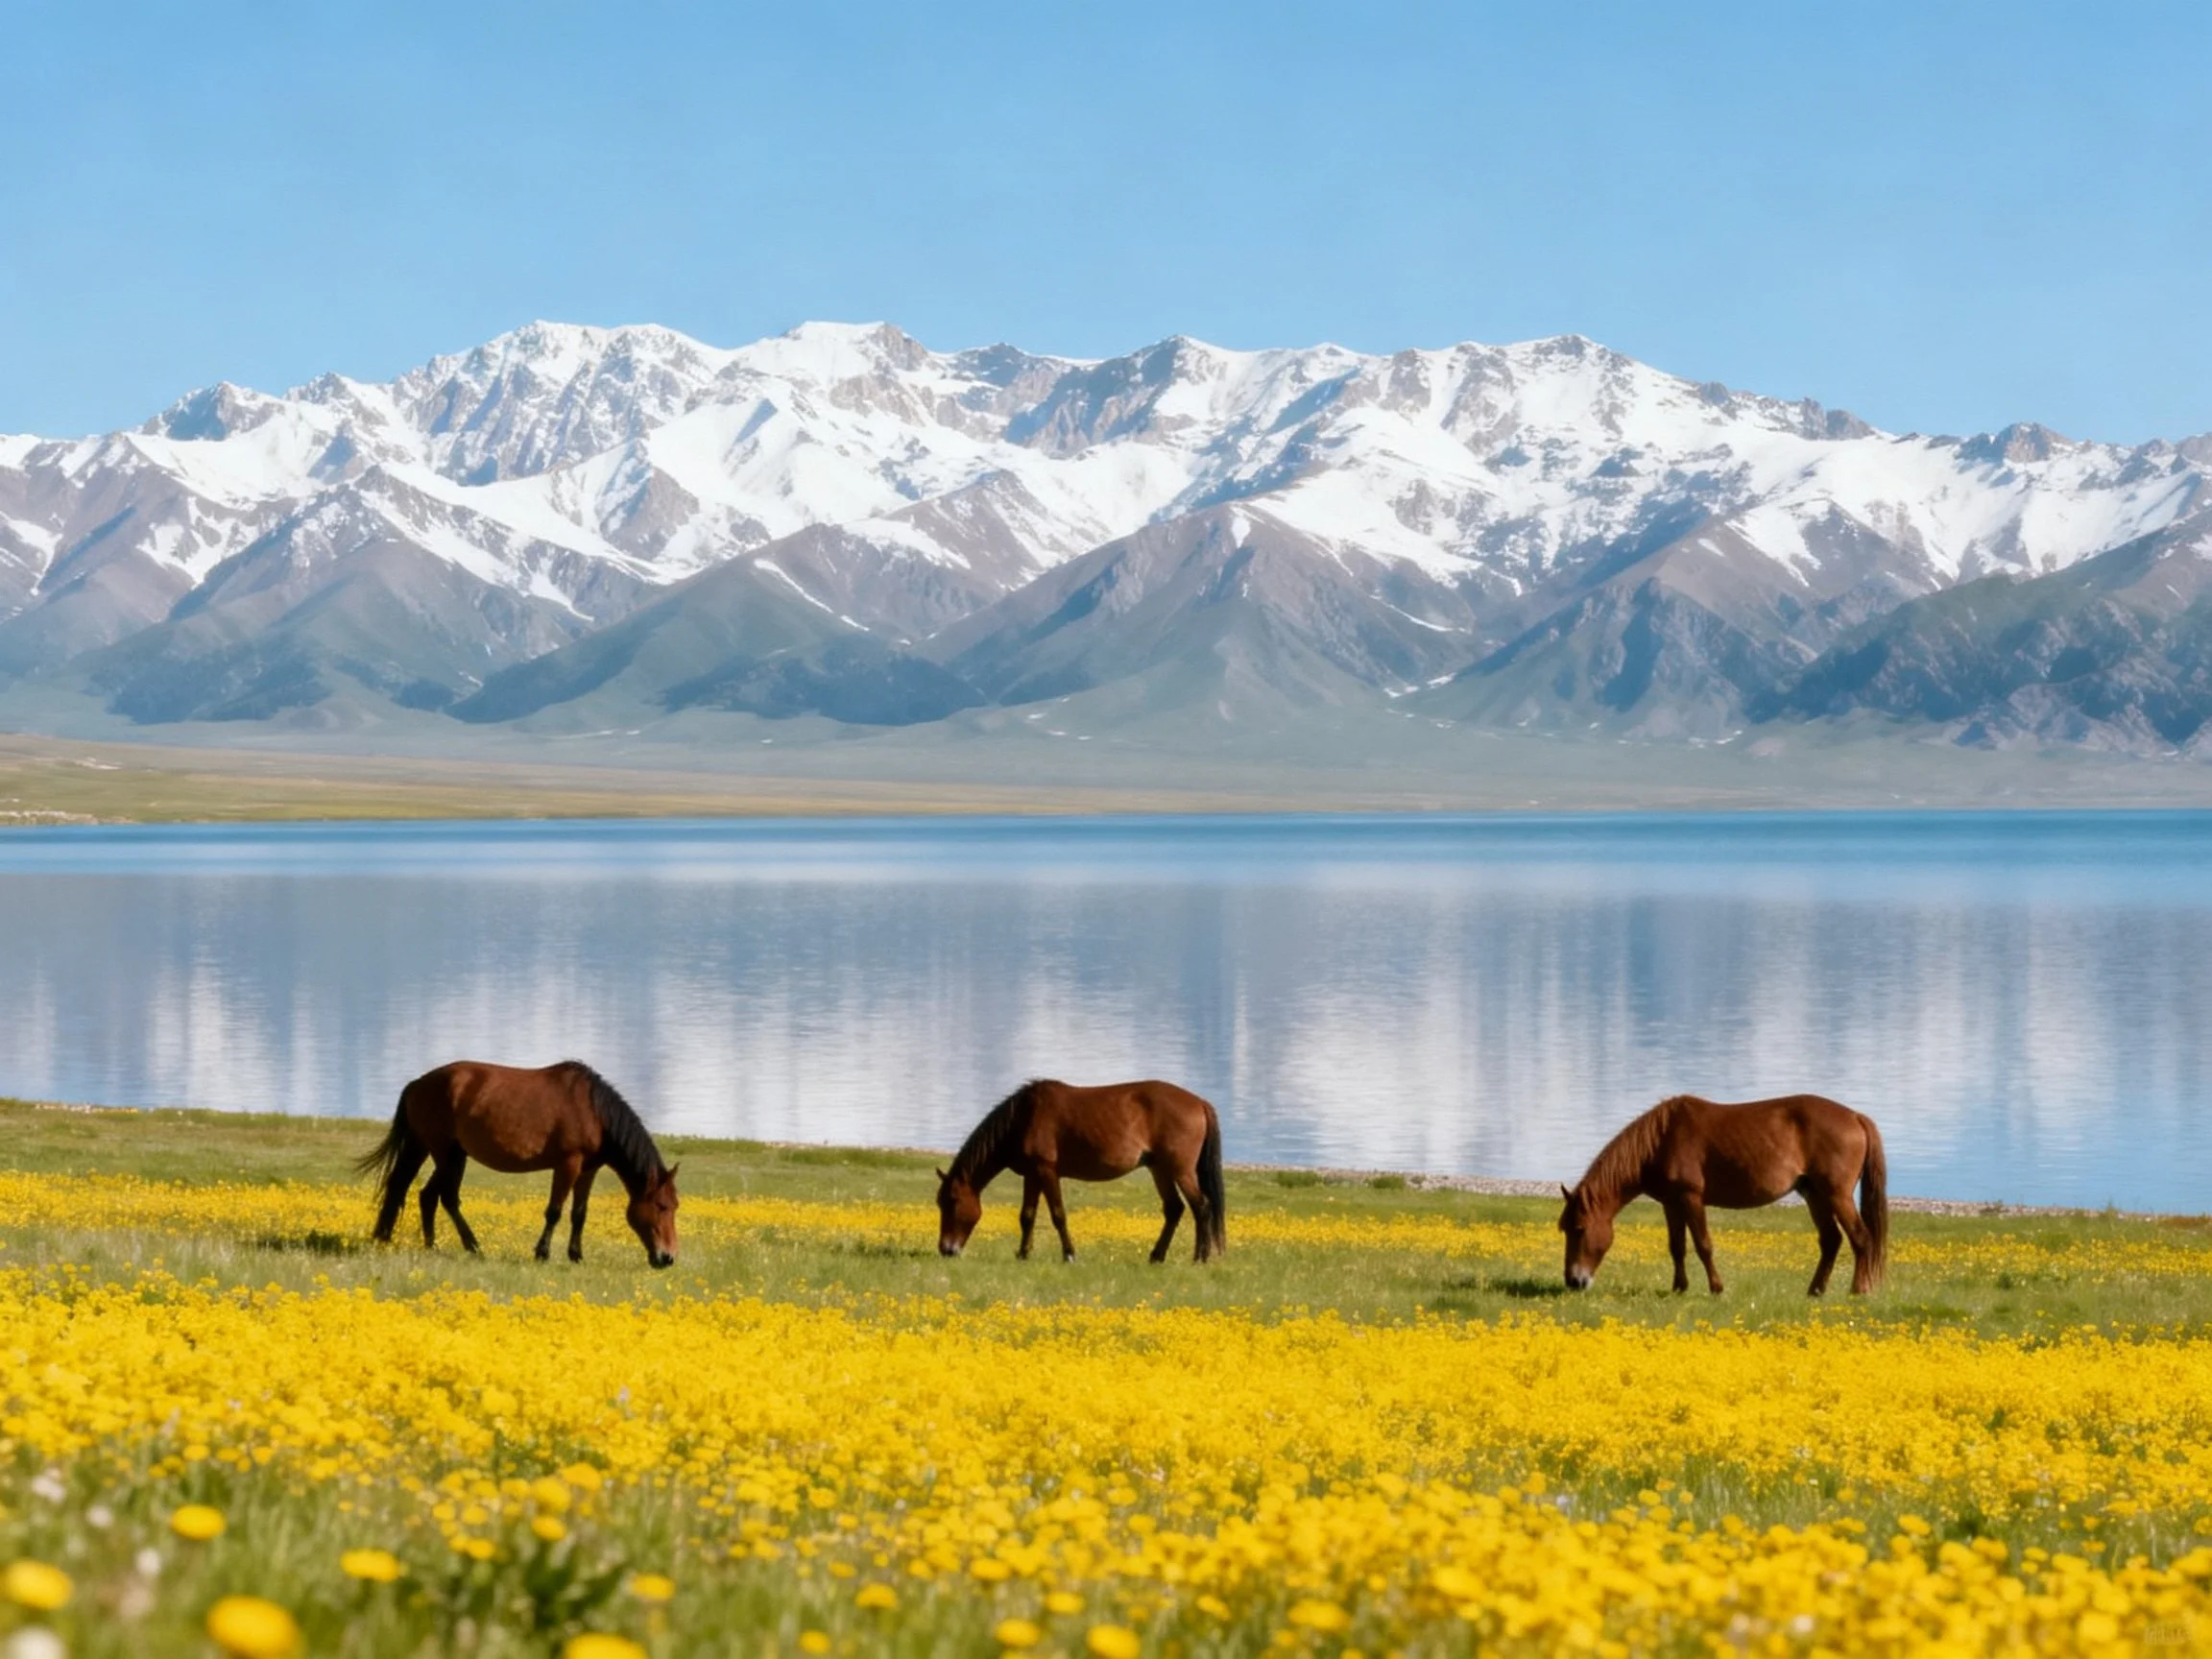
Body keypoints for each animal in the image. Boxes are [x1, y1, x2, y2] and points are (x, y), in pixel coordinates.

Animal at [356, 1059, 679, 1268]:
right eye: (662, 1206)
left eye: (675, 1207)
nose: (668, 1258)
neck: (594, 1112)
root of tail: (417, 1084)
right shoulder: (568, 1165)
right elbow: (554, 1212)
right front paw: (542, 1253)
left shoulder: (588, 1169)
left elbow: (579, 1214)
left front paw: (576, 1256)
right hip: (444, 1153)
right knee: (444, 1196)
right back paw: (472, 1247)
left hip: (440, 1150)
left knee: (419, 1192)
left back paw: (424, 1244)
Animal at [934, 1078, 1226, 1263]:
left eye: (952, 1202)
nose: (946, 1250)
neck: (1024, 1117)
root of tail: (1199, 1102)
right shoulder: (1032, 1175)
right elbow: (1027, 1216)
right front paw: (1023, 1254)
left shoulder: (1047, 1171)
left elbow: (1058, 1215)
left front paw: (1069, 1254)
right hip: (1160, 1169)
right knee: (1175, 1209)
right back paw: (1157, 1256)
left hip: (1181, 1171)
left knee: (1201, 1207)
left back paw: (1199, 1258)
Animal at [1558, 1093, 1887, 1296]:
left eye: (1579, 1229)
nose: (1574, 1281)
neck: (1661, 1140)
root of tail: (1855, 1117)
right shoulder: (1671, 1204)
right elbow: (1677, 1247)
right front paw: (1679, 1288)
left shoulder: (1691, 1198)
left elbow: (1704, 1245)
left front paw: (1716, 1288)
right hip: (1814, 1194)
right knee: (1831, 1241)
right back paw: (1815, 1291)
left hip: (1836, 1195)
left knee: (1860, 1238)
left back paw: (1858, 1290)